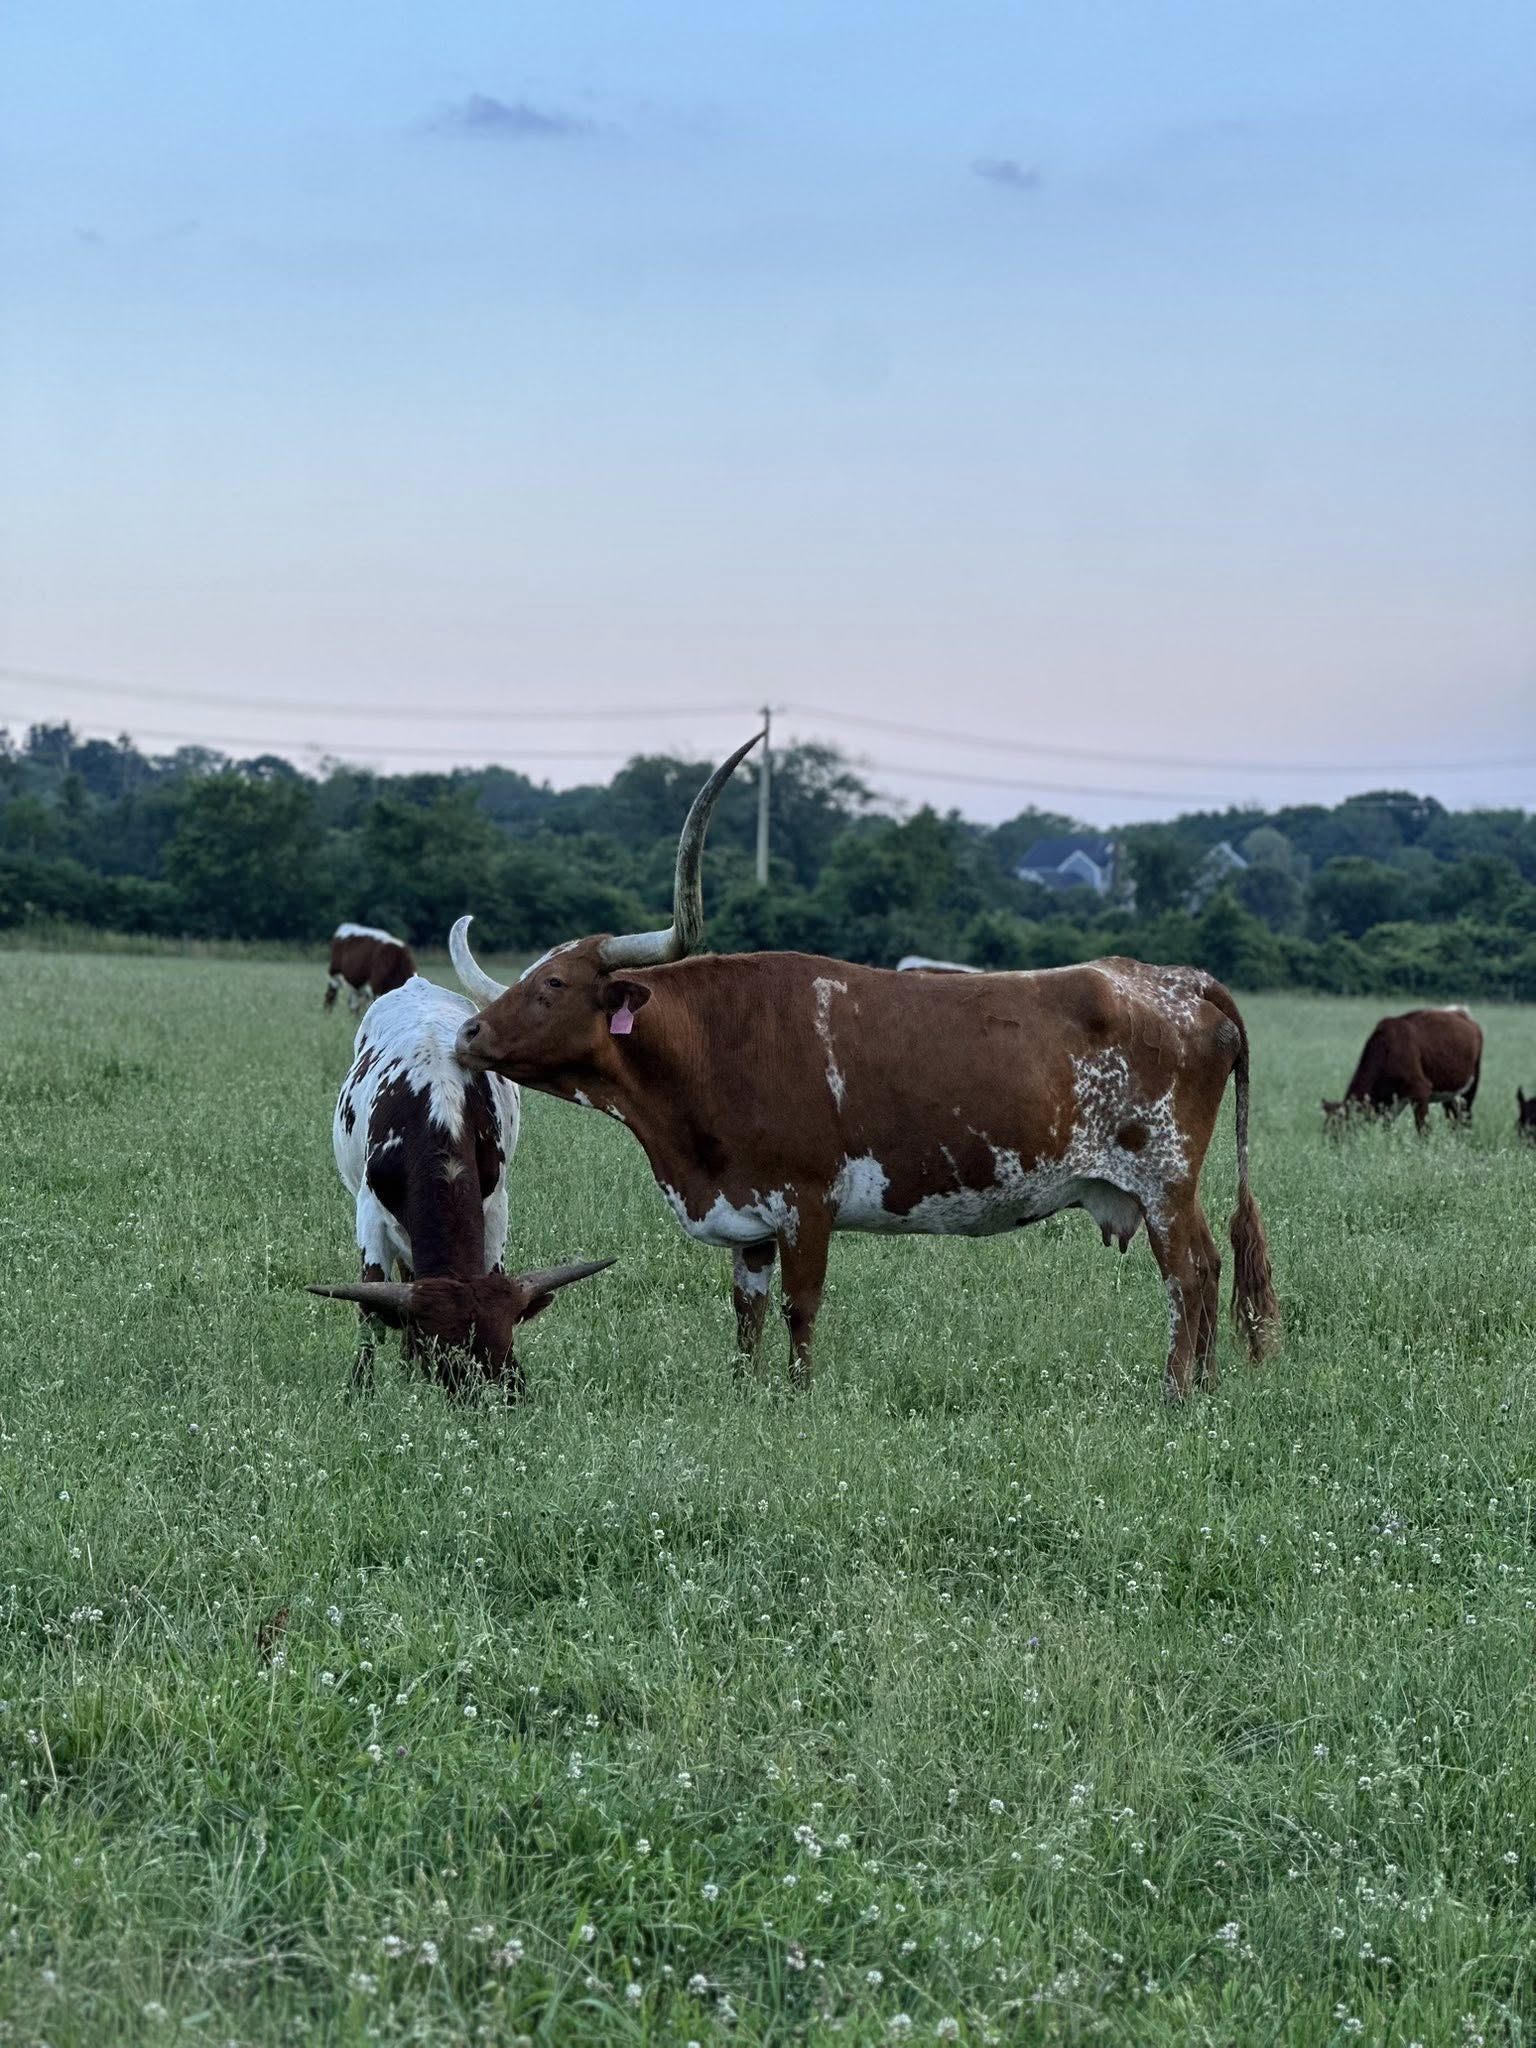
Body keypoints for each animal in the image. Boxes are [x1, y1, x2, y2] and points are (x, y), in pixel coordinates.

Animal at [309, 975, 611, 1395]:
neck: (440, 1111)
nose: (505, 1398)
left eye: (507, 1338)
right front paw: (360, 1389)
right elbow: (370, 1308)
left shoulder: (497, 1203)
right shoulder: (368, 1211)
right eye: (442, 1349)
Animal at [447, 738, 1279, 1403]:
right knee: (1206, 1270)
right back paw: (1205, 1387)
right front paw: (745, 1394)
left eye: (554, 985)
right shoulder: (749, 1214)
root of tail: (1178, 979)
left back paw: (1177, 1392)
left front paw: (799, 1397)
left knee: (1188, 1274)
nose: (469, 1032)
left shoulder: (807, 1202)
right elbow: (747, 1310)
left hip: (1163, 1175)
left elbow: (800, 1306)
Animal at [1321, 1007, 1482, 1134]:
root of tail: (1461, 1014)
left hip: (1470, 1088)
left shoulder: (1421, 1090)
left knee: (1466, 1119)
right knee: (1454, 1120)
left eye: (1338, 1128)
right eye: (1324, 1131)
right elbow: (1387, 1129)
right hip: (1450, 1094)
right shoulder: (1393, 1103)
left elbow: (1423, 1130)